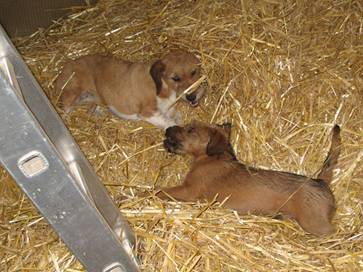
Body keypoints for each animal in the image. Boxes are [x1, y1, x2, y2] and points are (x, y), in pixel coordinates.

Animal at [54, 50, 205, 130]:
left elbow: (176, 117)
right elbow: (171, 123)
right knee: (66, 109)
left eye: (194, 72)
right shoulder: (148, 113)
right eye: (175, 78)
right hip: (72, 94)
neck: (162, 86)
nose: (192, 96)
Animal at [159, 122, 342, 235]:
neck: (212, 158)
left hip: (315, 224)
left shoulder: (188, 190)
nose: (167, 129)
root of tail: (320, 181)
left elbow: (160, 191)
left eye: (190, 130)